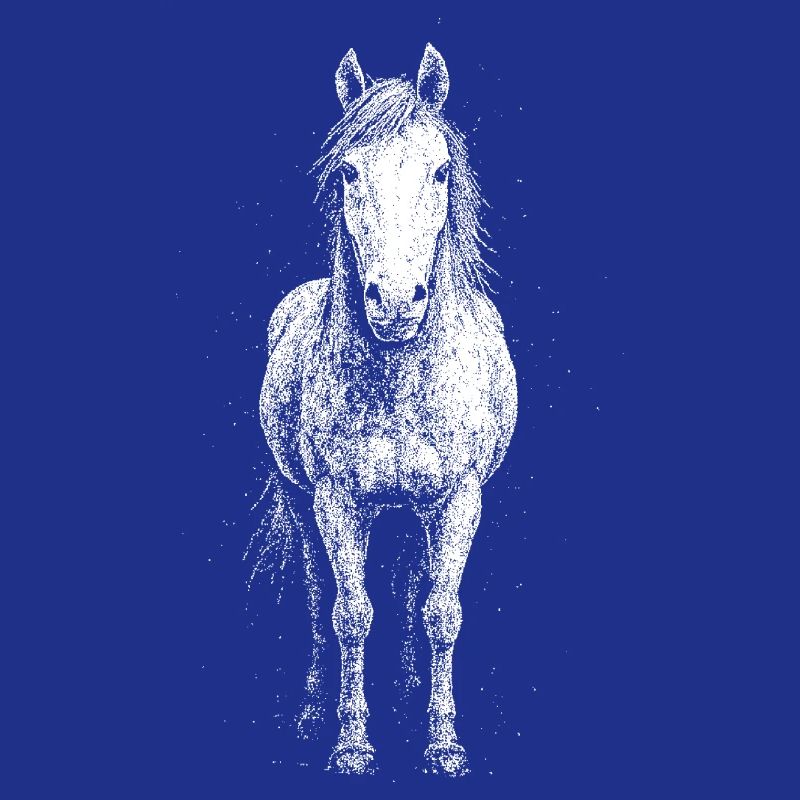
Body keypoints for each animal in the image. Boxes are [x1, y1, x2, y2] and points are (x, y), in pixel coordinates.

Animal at [258, 44, 517, 776]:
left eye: (440, 170)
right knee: (318, 598)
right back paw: (314, 709)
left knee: (413, 593)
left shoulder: (459, 501)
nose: (397, 302)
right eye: (349, 170)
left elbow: (441, 613)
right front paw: (351, 743)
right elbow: (349, 614)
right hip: (299, 502)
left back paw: (406, 697)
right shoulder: (335, 502)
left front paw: (443, 743)